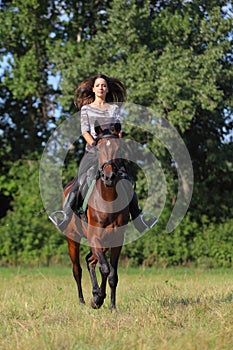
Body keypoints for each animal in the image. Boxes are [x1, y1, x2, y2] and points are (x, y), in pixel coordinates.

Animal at [63, 123, 130, 308]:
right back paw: (82, 300)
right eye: (98, 149)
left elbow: (112, 274)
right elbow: (105, 268)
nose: (108, 177)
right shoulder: (94, 238)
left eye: (118, 148)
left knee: (90, 261)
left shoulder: (116, 239)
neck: (108, 201)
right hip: (72, 240)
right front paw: (98, 299)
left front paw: (111, 305)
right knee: (77, 269)